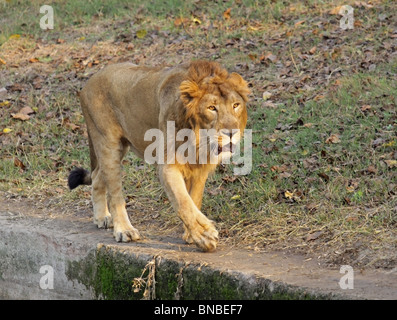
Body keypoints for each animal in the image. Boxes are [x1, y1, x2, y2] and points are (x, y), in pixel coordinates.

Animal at [67, 58, 248, 251]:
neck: (199, 138)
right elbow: (183, 202)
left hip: (119, 147)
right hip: (108, 144)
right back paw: (124, 230)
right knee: (115, 194)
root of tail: (90, 80)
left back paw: (102, 217)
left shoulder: (201, 167)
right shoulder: (168, 166)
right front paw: (204, 235)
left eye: (236, 105)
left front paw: (191, 234)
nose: (232, 133)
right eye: (212, 108)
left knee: (96, 176)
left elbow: (194, 199)